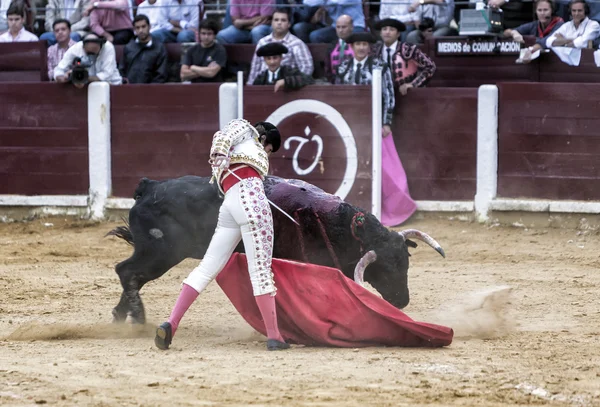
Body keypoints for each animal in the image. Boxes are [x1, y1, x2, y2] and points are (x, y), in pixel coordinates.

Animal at [108, 175, 446, 326]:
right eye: (384, 268)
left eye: (406, 262)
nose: (402, 301)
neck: (338, 225)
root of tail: (149, 187)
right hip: (160, 253)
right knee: (128, 272)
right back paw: (137, 317)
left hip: (158, 253)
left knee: (131, 275)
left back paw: (122, 316)